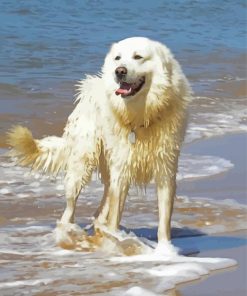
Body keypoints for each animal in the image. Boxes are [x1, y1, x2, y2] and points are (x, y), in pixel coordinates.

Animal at [6, 37, 192, 253]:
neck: (142, 116)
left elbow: (164, 219)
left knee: (101, 206)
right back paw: (70, 232)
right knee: (69, 209)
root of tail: (89, 87)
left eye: (138, 57)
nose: (119, 71)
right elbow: (115, 213)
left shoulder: (166, 169)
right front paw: (114, 243)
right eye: (118, 58)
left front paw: (166, 251)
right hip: (82, 164)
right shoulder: (121, 169)